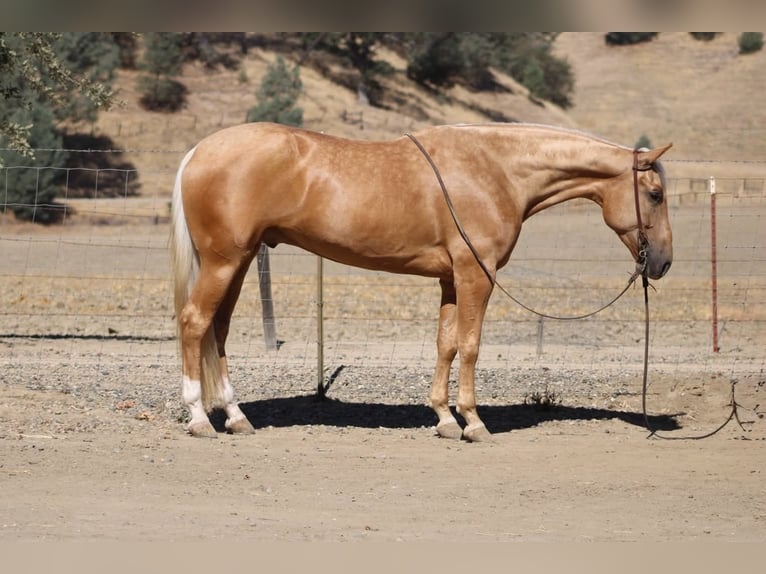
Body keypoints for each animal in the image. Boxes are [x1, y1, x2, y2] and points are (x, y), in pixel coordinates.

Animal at [170, 122, 673, 441]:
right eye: (655, 194)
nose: (663, 262)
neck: (495, 169)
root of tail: (198, 151)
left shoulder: (450, 280)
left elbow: (445, 344)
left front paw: (445, 419)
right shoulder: (476, 276)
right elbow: (470, 345)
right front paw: (473, 423)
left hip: (238, 263)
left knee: (218, 331)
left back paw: (235, 417)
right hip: (224, 262)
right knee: (194, 323)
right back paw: (199, 418)